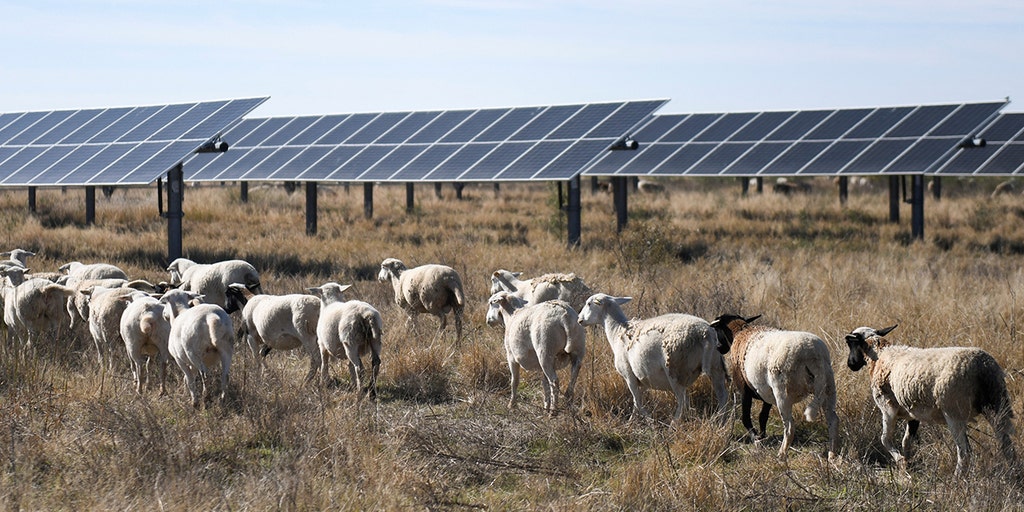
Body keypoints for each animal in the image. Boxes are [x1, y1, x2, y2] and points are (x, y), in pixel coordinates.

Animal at [577, 294, 730, 424]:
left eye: (589, 303)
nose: (579, 319)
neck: (616, 330)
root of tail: (706, 333)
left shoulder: (629, 375)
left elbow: (637, 401)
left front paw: (649, 421)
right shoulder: (643, 378)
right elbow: (636, 402)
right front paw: (633, 421)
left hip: (675, 370)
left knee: (684, 402)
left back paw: (674, 423)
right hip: (715, 366)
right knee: (722, 396)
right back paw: (720, 422)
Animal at [710, 314, 839, 461]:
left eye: (717, 330)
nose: (719, 348)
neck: (740, 331)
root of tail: (812, 354)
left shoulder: (744, 389)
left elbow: (746, 418)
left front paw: (756, 438)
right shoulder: (766, 393)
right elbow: (763, 416)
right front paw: (761, 436)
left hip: (782, 392)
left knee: (789, 427)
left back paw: (781, 454)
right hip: (828, 387)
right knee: (833, 421)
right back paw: (832, 455)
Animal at [845, 324, 1017, 475]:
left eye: (850, 343)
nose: (850, 364)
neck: (879, 354)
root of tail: (983, 367)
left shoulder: (887, 407)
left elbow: (885, 439)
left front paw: (901, 462)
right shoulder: (912, 413)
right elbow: (907, 441)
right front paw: (908, 465)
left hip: (954, 411)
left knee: (965, 451)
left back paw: (957, 478)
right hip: (996, 406)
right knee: (1007, 445)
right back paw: (1014, 474)